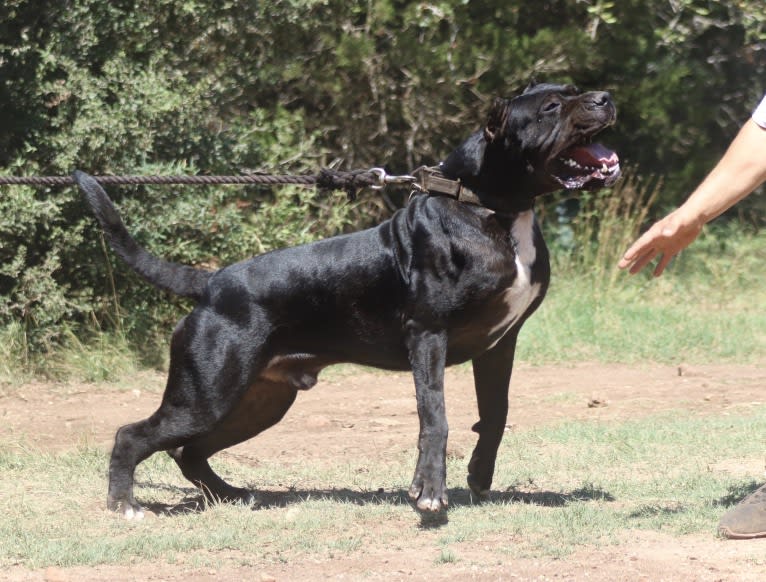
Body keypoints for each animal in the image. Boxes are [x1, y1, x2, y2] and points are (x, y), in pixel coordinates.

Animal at [75, 83, 620, 520]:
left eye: (574, 90)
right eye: (552, 106)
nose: (604, 96)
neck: (488, 205)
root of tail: (209, 284)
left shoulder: (500, 343)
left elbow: (497, 413)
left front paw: (479, 476)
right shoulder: (429, 333)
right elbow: (434, 416)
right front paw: (429, 493)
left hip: (258, 401)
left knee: (188, 452)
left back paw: (232, 495)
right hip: (206, 395)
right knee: (133, 435)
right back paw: (125, 506)